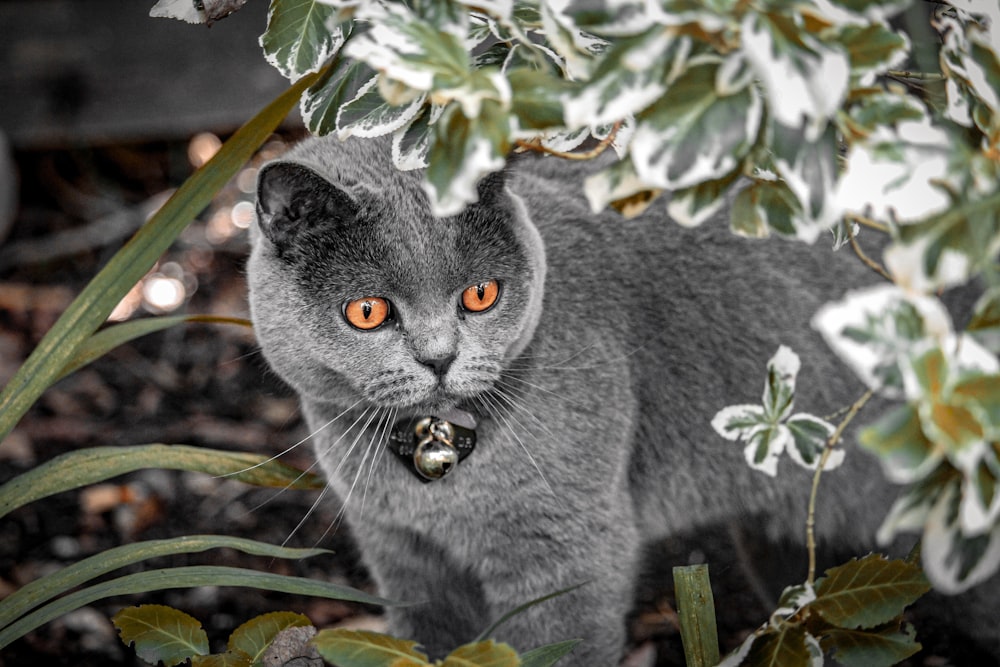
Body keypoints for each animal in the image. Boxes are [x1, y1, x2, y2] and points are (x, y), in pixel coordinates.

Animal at [246, 134, 996, 664]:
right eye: (367, 311)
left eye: (480, 295)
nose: (439, 358)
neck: (436, 476)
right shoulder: (405, 559)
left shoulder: (569, 556)